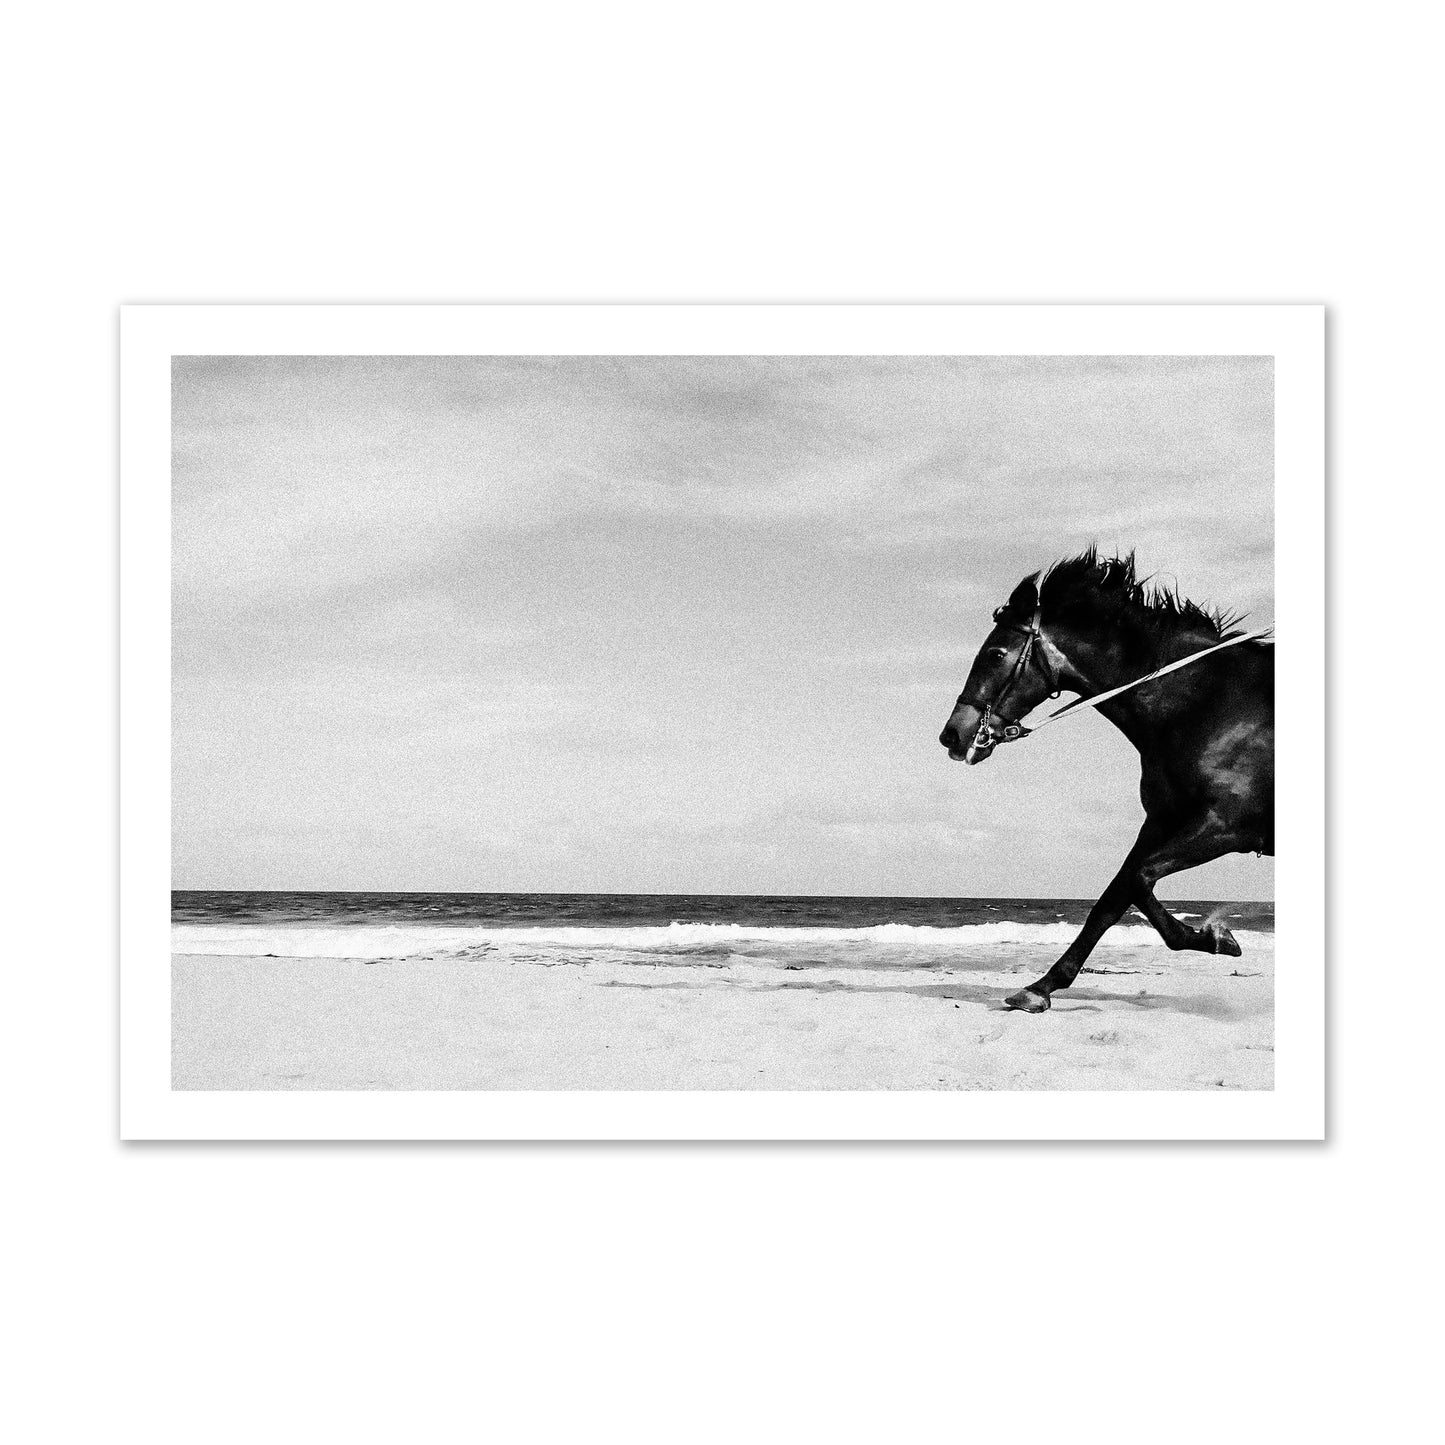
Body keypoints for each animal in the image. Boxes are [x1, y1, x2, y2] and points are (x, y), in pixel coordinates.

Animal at [937, 549, 1274, 1013]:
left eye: (996, 653)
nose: (953, 734)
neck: (1207, 704)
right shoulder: (1163, 821)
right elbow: (1114, 897)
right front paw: (1040, 986)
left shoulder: (1225, 826)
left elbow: (1137, 880)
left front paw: (1215, 936)